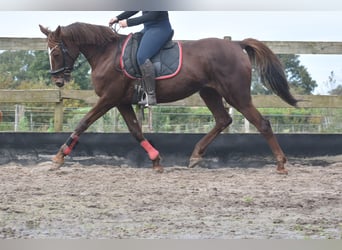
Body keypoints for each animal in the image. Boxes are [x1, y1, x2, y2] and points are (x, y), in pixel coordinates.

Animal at [39, 22, 296, 174]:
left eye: (56, 52)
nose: (58, 81)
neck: (107, 53)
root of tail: (235, 44)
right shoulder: (121, 101)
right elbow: (136, 131)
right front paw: (155, 159)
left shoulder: (109, 98)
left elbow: (83, 123)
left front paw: (59, 157)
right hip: (209, 92)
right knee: (223, 120)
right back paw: (195, 156)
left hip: (236, 94)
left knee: (262, 123)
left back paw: (281, 164)